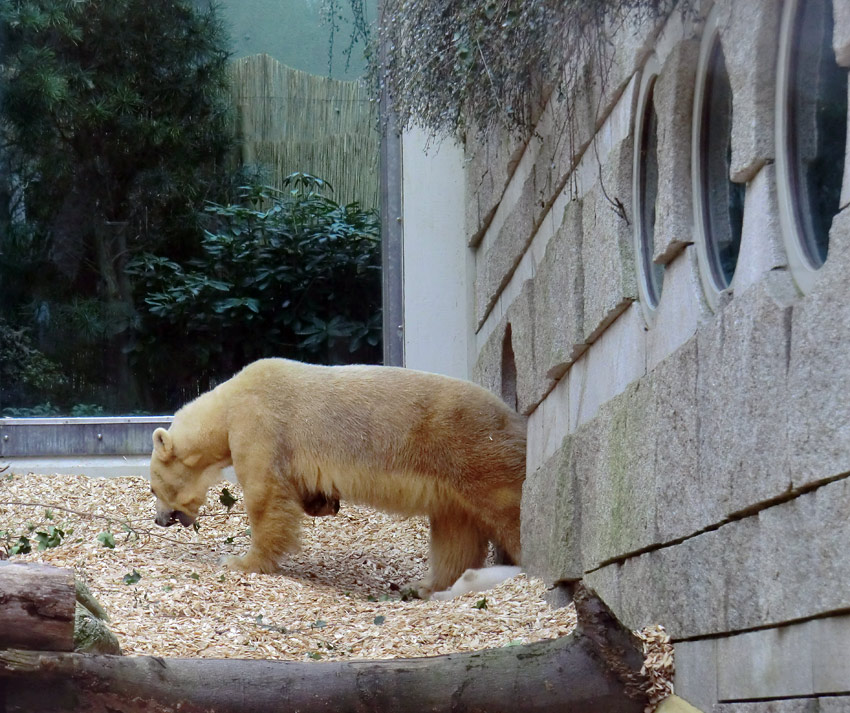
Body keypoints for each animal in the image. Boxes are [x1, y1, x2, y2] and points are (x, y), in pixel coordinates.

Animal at [149, 356, 528, 596]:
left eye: (153, 488)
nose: (159, 520)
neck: (228, 403)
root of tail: (513, 418)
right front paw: (322, 502)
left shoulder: (259, 427)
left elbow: (265, 496)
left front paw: (241, 561)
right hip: (452, 477)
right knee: (455, 532)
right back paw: (425, 585)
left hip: (474, 450)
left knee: (506, 507)